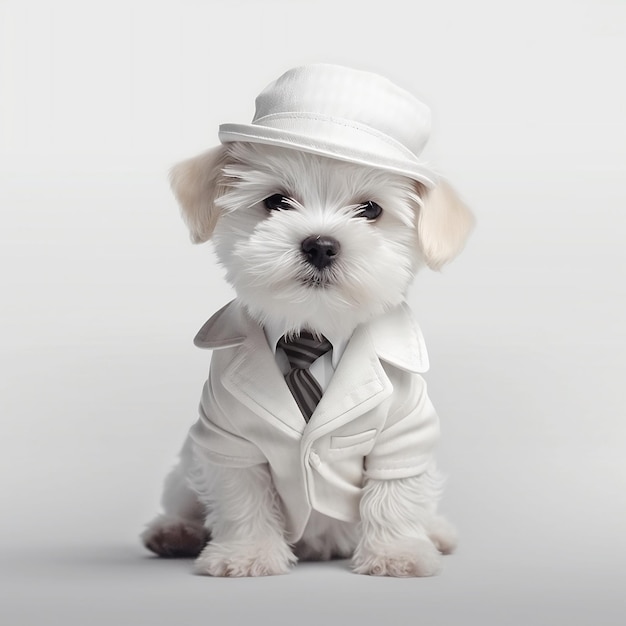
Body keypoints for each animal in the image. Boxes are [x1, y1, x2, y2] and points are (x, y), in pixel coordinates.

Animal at [141, 63, 472, 576]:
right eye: (277, 202)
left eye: (370, 209)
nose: (320, 244)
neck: (314, 329)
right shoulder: (226, 436)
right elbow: (242, 496)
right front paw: (248, 553)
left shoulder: (405, 432)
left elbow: (394, 493)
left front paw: (395, 552)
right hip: (187, 461)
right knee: (186, 495)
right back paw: (176, 530)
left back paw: (434, 532)